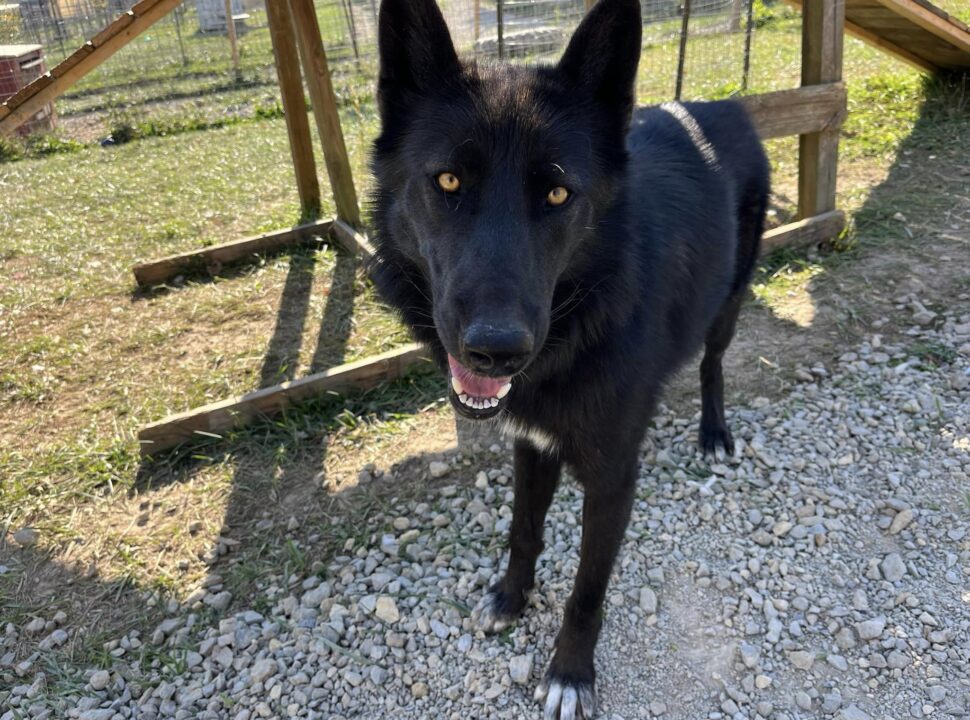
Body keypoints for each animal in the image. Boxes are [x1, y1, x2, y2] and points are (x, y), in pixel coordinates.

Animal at [366, 1, 768, 716]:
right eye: (448, 180)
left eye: (557, 195)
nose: (496, 351)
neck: (580, 321)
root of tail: (724, 105)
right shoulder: (532, 443)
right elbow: (523, 530)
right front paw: (511, 598)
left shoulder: (612, 479)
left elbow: (587, 590)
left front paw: (571, 672)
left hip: (730, 300)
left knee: (712, 362)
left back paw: (714, 432)